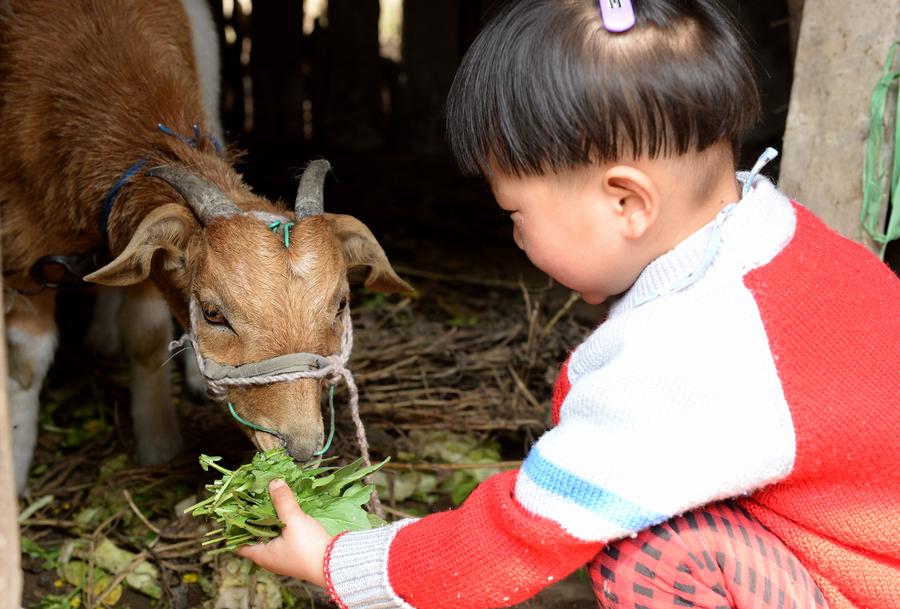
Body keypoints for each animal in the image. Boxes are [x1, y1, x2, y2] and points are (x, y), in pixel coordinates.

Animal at [0, 1, 412, 494]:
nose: (300, 448)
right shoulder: (21, 241)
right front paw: (16, 470)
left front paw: (158, 442)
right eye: (213, 314)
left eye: (340, 305)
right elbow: (28, 360)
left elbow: (146, 335)